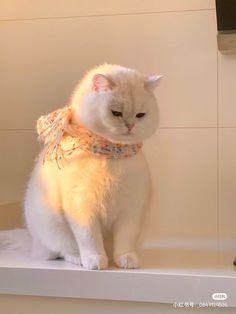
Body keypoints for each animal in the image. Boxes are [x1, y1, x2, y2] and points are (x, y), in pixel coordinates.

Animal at [16, 63, 160, 270]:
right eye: (116, 112)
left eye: (141, 115)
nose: (130, 125)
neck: (111, 154)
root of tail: (34, 244)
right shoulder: (82, 205)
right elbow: (89, 238)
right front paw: (95, 260)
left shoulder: (131, 208)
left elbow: (125, 239)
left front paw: (125, 259)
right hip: (54, 228)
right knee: (63, 251)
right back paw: (78, 259)